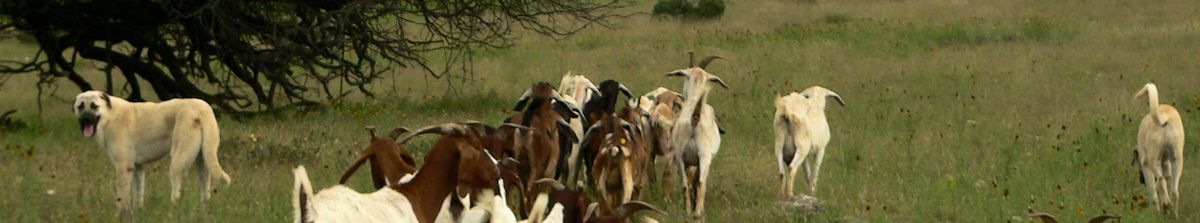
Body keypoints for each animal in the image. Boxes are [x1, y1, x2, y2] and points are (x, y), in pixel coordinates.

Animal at [71, 90, 230, 218]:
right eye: (80, 107)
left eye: (94, 106)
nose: (85, 119)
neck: (109, 116)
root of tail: (201, 109)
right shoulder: (137, 168)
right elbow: (138, 194)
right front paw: (138, 212)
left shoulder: (123, 168)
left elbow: (122, 197)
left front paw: (120, 215)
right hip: (204, 162)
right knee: (205, 194)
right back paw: (205, 213)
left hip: (177, 163)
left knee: (176, 194)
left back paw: (172, 213)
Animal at [672, 53, 724, 221]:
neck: (695, 99)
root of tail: (694, 117)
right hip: (704, 156)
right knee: (701, 183)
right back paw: (697, 213)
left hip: (680, 157)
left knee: (684, 184)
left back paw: (688, 211)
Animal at [1132, 82, 1180, 217]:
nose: (1141, 180)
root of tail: (1163, 117)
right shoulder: (1167, 165)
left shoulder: (1146, 167)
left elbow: (1153, 194)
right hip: (1177, 160)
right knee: (1174, 191)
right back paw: (1174, 214)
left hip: (1153, 162)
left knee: (1161, 182)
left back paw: (1166, 205)